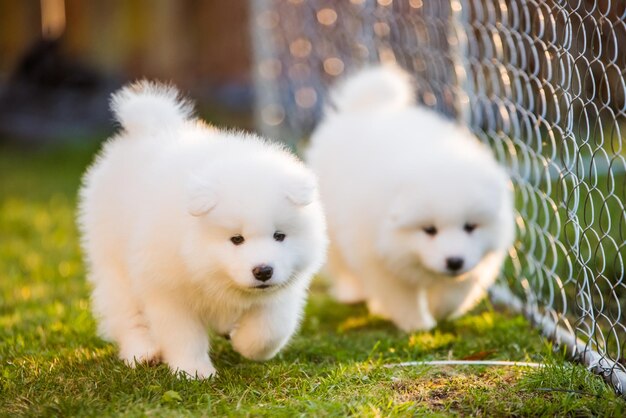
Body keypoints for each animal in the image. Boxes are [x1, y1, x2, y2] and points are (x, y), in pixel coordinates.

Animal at [78, 81, 326, 378]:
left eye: (280, 236)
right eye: (236, 239)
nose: (263, 271)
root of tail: (150, 127)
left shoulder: (283, 290)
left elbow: (270, 329)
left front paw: (245, 343)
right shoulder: (168, 290)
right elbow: (183, 335)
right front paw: (194, 372)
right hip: (114, 263)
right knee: (126, 313)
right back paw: (143, 353)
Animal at [306, 66, 512, 334]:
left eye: (470, 227)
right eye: (429, 230)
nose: (454, 261)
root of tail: (366, 108)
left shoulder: (479, 257)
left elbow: (456, 291)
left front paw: (439, 309)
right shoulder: (378, 259)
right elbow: (401, 296)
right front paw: (417, 325)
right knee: (342, 267)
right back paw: (353, 294)